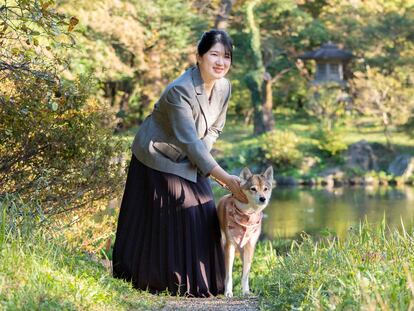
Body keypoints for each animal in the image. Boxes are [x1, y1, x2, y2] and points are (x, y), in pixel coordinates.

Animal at [217, 167, 274, 298]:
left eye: (265, 189)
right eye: (253, 189)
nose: (263, 198)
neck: (247, 215)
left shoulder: (250, 245)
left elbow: (245, 274)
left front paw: (246, 291)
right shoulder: (230, 246)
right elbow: (229, 274)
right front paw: (228, 292)